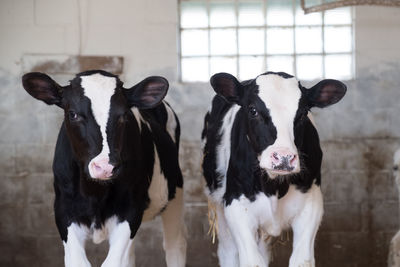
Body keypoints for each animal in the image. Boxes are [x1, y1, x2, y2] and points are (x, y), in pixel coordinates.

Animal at [23, 70, 188, 267]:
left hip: (175, 190)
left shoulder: (130, 210)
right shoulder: (64, 211)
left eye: (124, 114)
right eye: (73, 114)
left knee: (174, 245)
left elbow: (113, 262)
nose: (105, 167)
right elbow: (78, 261)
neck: (95, 193)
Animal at [202, 71, 346, 267]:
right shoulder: (236, 206)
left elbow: (302, 260)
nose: (284, 157)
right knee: (228, 251)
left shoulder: (311, 205)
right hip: (217, 203)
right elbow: (252, 261)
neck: (274, 187)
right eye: (253, 110)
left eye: (303, 113)